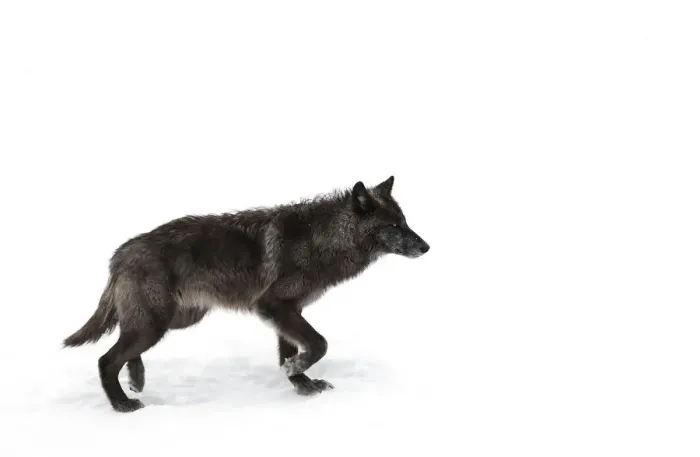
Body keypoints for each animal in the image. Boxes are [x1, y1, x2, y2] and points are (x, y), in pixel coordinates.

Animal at [63, 176, 430, 412]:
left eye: (405, 221)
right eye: (394, 226)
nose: (426, 247)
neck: (322, 239)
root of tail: (120, 253)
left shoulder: (287, 312)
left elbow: (292, 352)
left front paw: (302, 384)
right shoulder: (275, 305)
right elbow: (319, 344)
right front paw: (299, 372)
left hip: (175, 320)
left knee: (125, 350)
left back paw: (136, 379)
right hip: (156, 324)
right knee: (106, 360)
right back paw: (122, 404)